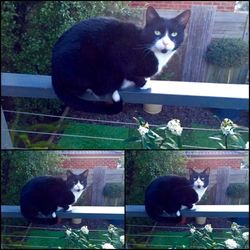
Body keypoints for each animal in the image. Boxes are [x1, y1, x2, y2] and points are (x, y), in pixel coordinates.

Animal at [51, 6, 190, 114]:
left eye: (174, 34)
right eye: (157, 32)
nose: (166, 42)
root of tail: (54, 70)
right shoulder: (120, 53)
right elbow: (131, 73)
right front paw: (144, 83)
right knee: (96, 88)